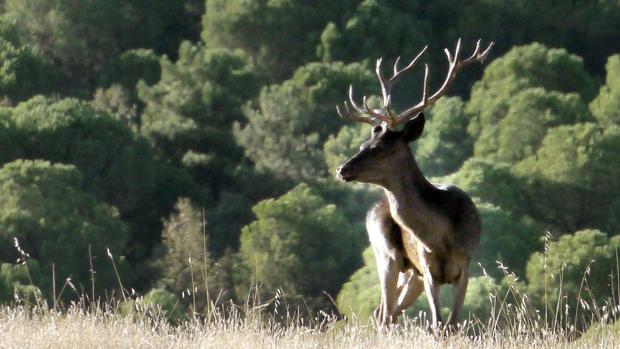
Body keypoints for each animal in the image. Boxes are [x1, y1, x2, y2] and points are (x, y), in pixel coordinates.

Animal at [336, 39, 492, 330]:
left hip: (411, 274)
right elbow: (438, 324)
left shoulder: (464, 265)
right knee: (384, 313)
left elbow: (453, 324)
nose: (342, 169)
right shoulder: (427, 268)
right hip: (387, 255)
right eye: (364, 144)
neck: (442, 237)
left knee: (387, 312)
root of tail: (374, 207)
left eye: (380, 147)